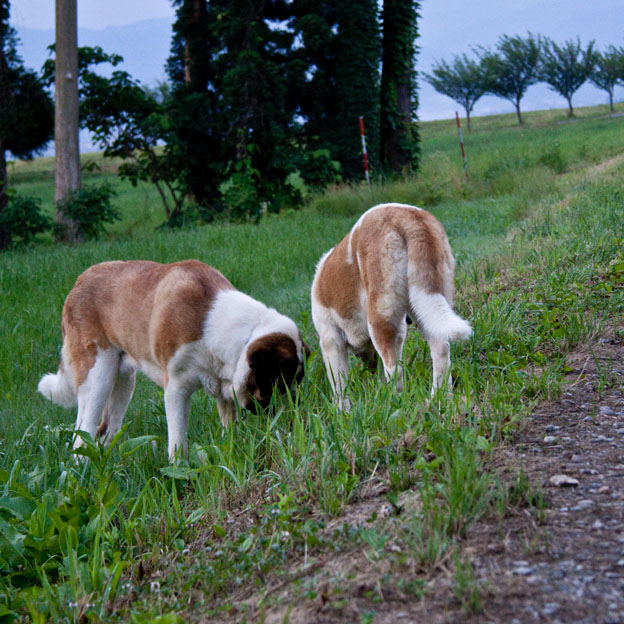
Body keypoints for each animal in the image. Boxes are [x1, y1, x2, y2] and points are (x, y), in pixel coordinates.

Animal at [37, 258, 306, 458]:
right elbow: (177, 439)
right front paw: (180, 470)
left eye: (297, 380)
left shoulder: (220, 386)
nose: (296, 403)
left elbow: (228, 423)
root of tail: (78, 283)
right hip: (98, 376)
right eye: (279, 381)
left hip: (123, 383)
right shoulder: (176, 388)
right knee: (82, 435)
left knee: (105, 431)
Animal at [312, 202, 472, 412]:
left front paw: (343, 412)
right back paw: (438, 399)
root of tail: (408, 216)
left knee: (394, 369)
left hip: (380, 319)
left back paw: (393, 405)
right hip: (427, 307)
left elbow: (339, 386)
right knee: (441, 353)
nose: (369, 366)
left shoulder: (330, 339)